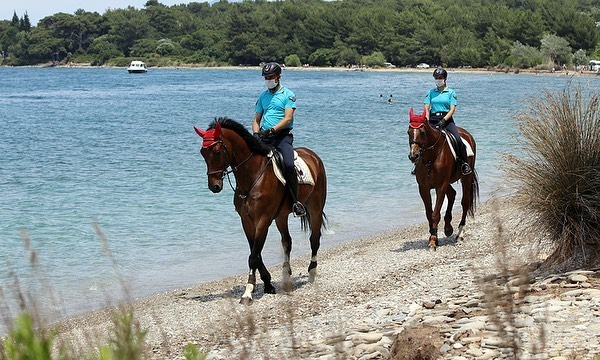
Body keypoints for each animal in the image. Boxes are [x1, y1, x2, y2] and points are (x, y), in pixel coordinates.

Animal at [193, 117, 328, 304]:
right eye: (202, 152)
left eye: (218, 151)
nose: (214, 186)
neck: (253, 175)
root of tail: (313, 156)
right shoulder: (247, 221)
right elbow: (255, 253)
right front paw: (268, 284)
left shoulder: (263, 220)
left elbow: (253, 257)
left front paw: (248, 292)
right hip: (281, 216)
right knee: (287, 241)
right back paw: (286, 276)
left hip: (315, 208)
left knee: (314, 239)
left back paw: (312, 274)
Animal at [406, 108, 480, 252]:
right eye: (408, 132)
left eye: (422, 132)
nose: (413, 156)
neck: (430, 158)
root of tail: (467, 134)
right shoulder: (423, 187)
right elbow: (429, 214)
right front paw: (433, 237)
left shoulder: (441, 185)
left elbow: (435, 213)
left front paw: (433, 241)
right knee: (452, 194)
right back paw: (448, 228)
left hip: (465, 177)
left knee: (465, 202)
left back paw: (459, 234)